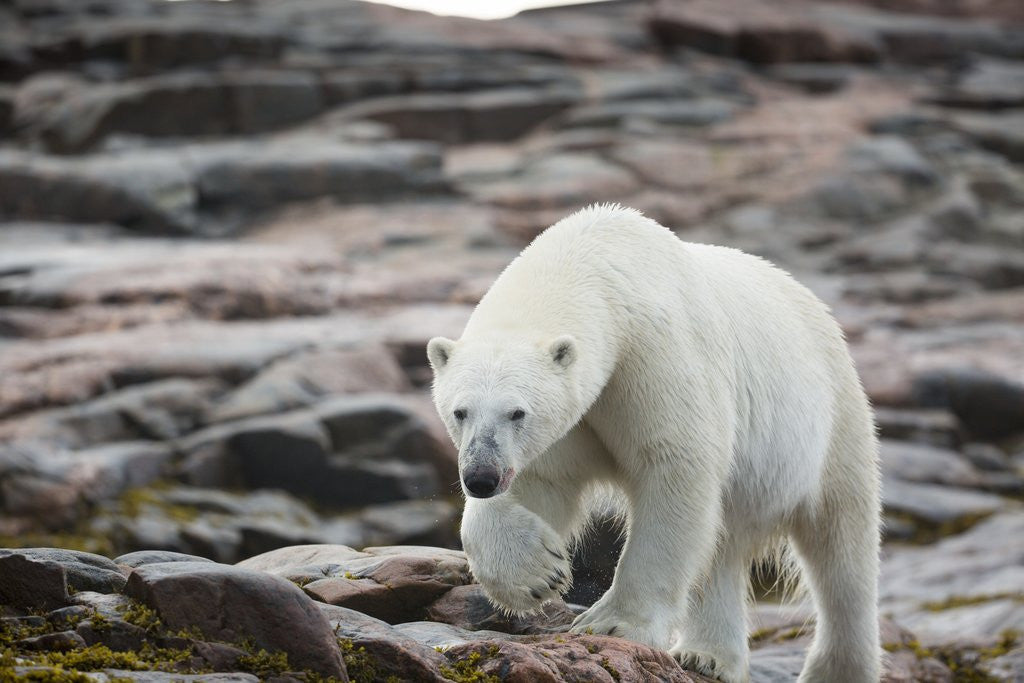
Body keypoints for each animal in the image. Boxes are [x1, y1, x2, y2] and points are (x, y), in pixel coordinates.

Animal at [427, 204, 881, 683]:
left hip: (832, 421)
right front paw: (537, 574)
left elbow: (674, 468)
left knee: (841, 546)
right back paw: (707, 656)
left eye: (518, 412)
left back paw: (836, 667)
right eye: (459, 412)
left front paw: (614, 623)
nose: (480, 477)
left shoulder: (656, 355)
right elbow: (542, 481)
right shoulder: (570, 423)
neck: (597, 264)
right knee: (723, 543)